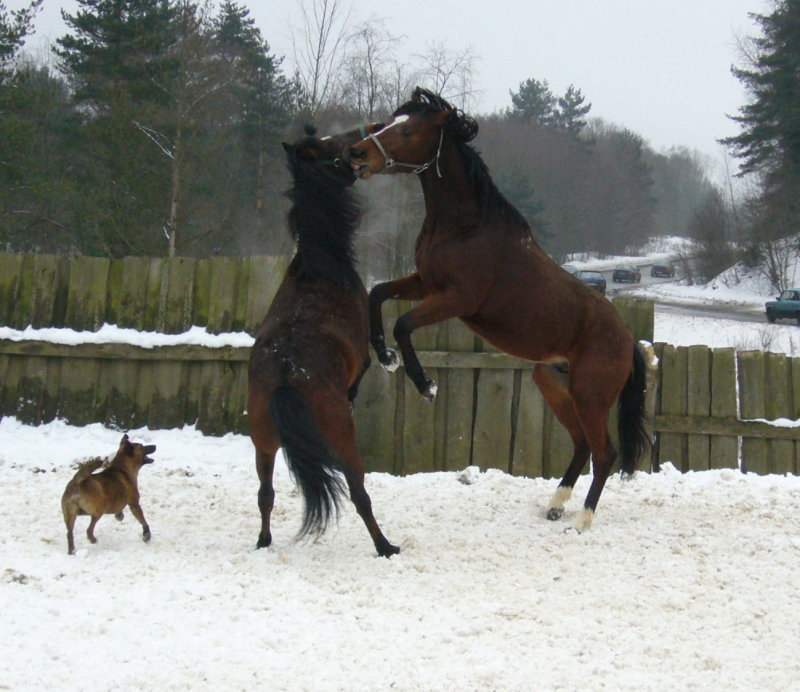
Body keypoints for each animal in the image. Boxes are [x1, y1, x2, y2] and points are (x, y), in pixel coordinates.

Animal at [245, 125, 398, 556]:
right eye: (334, 147)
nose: (365, 135)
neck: (319, 265)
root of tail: (286, 377)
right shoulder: (362, 354)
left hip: (263, 442)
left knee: (265, 493)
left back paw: (264, 541)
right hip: (343, 441)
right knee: (359, 494)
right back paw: (386, 546)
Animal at [350, 89, 648, 532]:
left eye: (406, 130)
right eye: (386, 123)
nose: (356, 154)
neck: (467, 227)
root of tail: (627, 340)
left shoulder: (457, 298)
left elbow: (403, 324)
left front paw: (426, 386)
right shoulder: (425, 283)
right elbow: (376, 294)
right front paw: (385, 357)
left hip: (590, 395)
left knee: (604, 453)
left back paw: (581, 521)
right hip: (554, 385)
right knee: (581, 444)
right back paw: (555, 504)